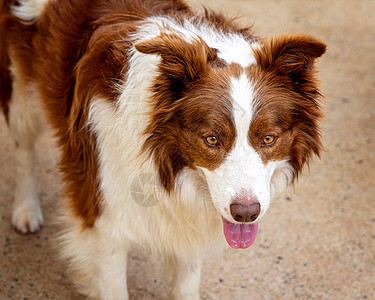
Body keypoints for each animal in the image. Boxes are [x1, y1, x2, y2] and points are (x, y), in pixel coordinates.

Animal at [0, 0, 326, 298]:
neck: (161, 159)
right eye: (211, 139)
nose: (246, 214)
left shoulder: (190, 225)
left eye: (268, 138)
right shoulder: (103, 221)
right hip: (19, 91)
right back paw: (26, 210)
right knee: (23, 148)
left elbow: (187, 282)